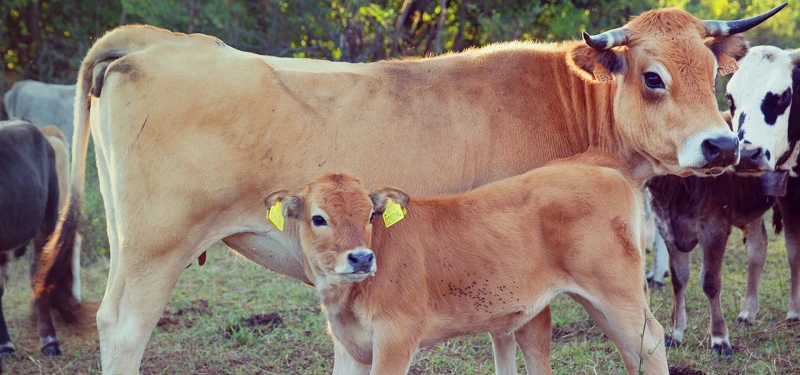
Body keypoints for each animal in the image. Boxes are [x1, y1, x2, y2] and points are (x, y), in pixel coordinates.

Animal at [262, 153, 664, 375]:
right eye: (318, 218)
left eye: (369, 215)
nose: (361, 257)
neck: (345, 301)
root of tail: (599, 166)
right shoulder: (349, 349)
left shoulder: (396, 337)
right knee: (633, 354)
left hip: (617, 293)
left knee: (652, 343)